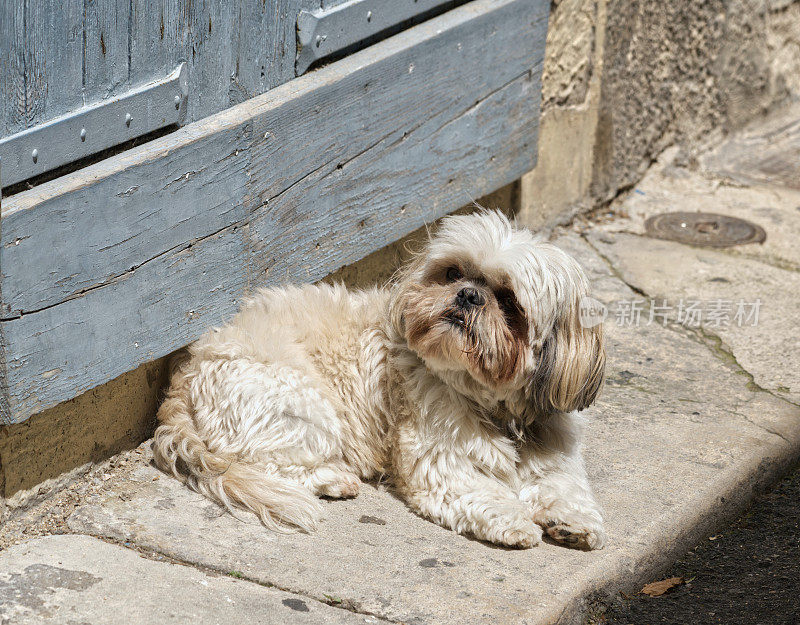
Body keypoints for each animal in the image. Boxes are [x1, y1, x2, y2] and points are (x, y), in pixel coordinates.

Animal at [152, 208, 608, 544]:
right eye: (452, 273)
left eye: (509, 300)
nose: (468, 295)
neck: (488, 401)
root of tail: (187, 372)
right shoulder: (438, 459)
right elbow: (478, 490)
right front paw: (514, 521)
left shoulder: (554, 449)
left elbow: (565, 486)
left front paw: (573, 521)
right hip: (300, 406)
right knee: (267, 464)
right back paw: (335, 478)